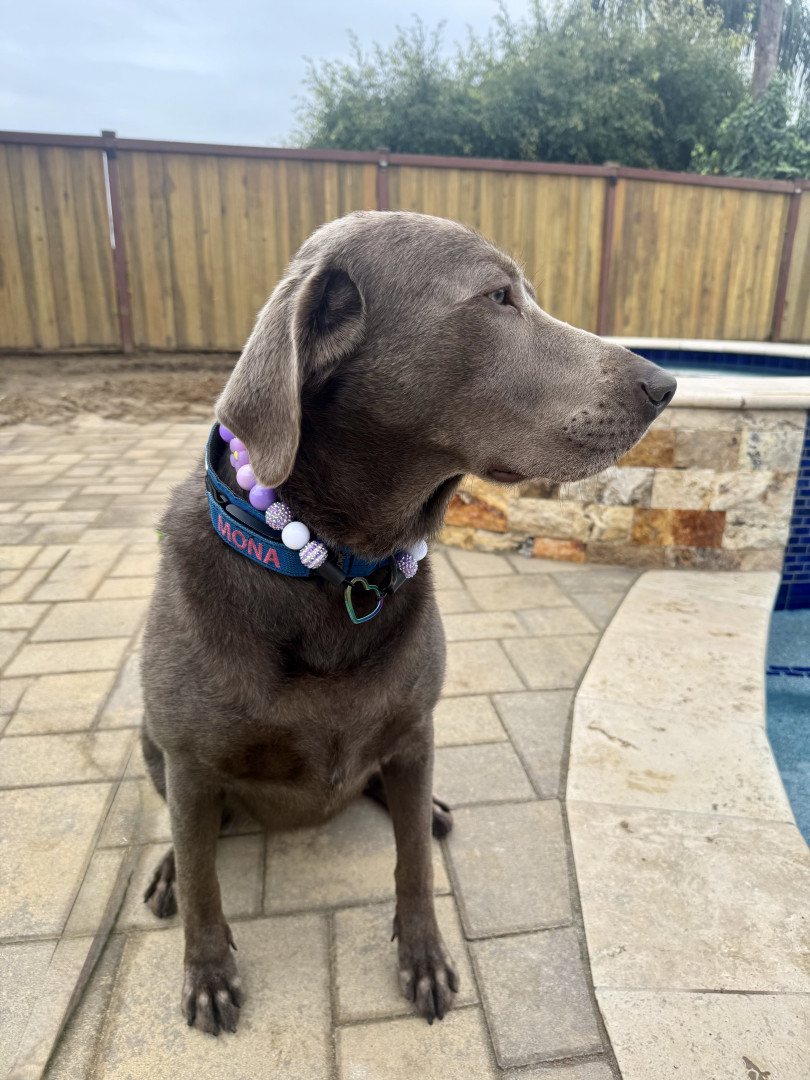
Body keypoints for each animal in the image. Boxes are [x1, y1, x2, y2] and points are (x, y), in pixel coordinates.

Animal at [139, 210, 676, 1035]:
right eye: (497, 297)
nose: (666, 385)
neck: (337, 571)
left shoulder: (416, 729)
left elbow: (413, 864)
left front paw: (423, 956)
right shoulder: (190, 759)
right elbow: (204, 883)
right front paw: (207, 974)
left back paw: (431, 810)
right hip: (148, 742)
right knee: (183, 831)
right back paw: (167, 869)